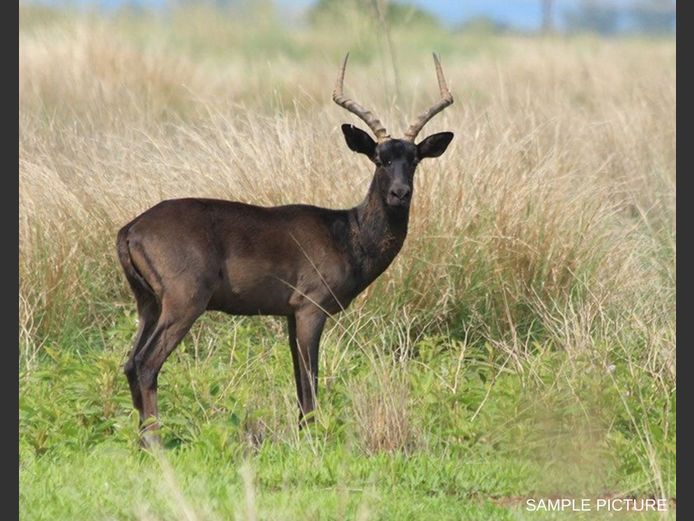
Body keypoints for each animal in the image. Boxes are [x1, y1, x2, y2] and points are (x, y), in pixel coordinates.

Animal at [117, 53, 454, 446]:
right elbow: (310, 376)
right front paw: (312, 437)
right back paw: (156, 444)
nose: (400, 193)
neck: (346, 232)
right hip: (183, 304)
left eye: (413, 159)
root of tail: (131, 228)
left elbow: (297, 376)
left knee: (130, 362)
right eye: (380, 159)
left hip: (149, 304)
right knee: (146, 363)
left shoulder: (290, 315)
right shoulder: (311, 309)